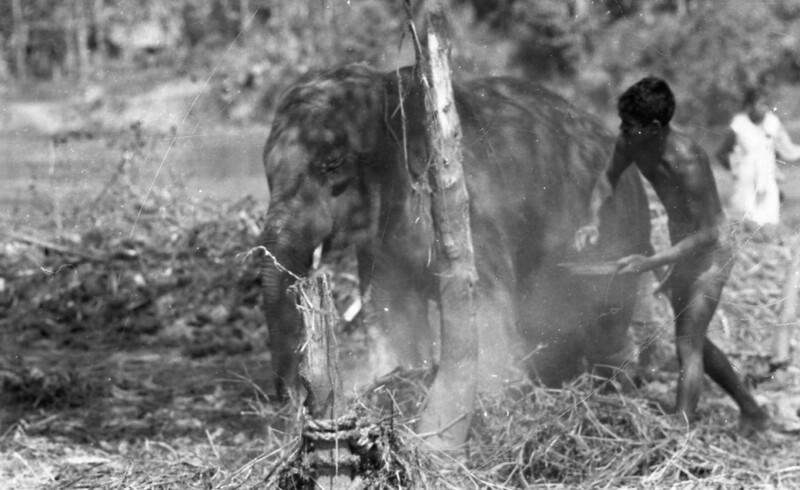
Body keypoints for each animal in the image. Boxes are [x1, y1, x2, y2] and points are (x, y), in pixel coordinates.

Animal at [258, 63, 651, 443]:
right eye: (266, 173)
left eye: (333, 164)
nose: (285, 397)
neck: (389, 90)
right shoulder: (380, 244)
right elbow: (392, 312)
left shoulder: (473, 214)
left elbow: (488, 309)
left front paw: (492, 416)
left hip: (619, 237)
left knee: (608, 325)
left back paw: (623, 398)